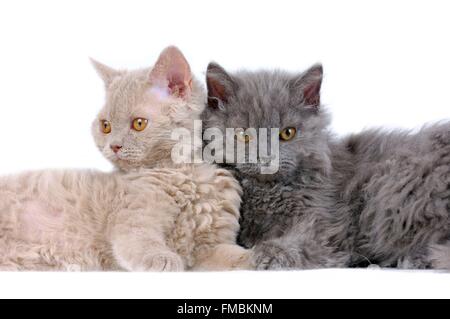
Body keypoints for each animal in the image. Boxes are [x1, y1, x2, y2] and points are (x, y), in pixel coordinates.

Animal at [0, 47, 250, 272]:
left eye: (138, 123)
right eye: (105, 126)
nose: (114, 146)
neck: (187, 175)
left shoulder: (209, 245)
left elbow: (234, 255)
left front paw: (253, 257)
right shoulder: (132, 218)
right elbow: (140, 240)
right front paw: (163, 259)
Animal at [200, 62, 450, 270]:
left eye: (287, 133)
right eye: (244, 135)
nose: (267, 157)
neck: (268, 191)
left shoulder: (325, 226)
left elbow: (298, 244)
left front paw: (264, 254)